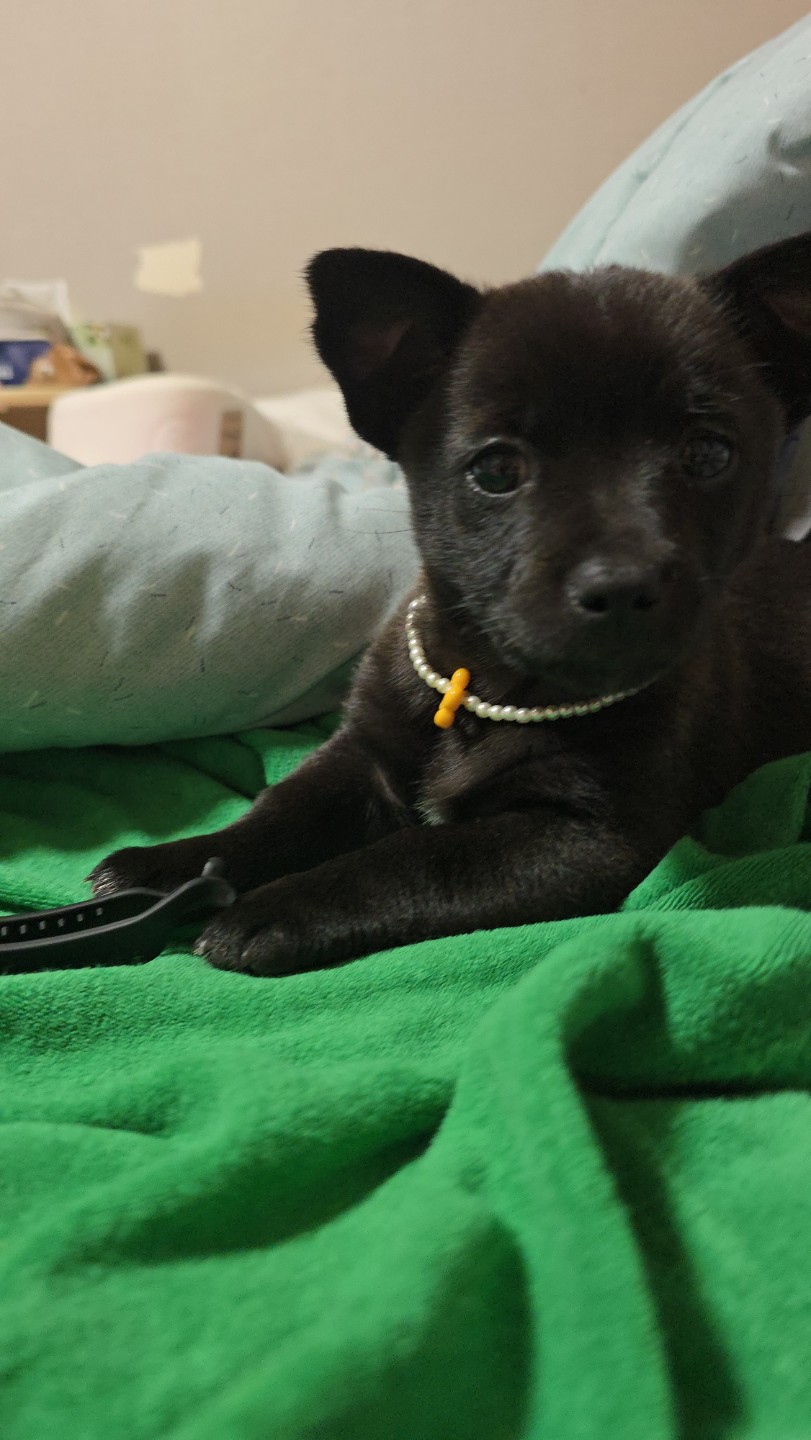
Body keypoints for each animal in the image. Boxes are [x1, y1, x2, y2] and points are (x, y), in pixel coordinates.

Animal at [89, 233, 811, 976]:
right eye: (495, 470)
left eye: (709, 455)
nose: (621, 586)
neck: (489, 689)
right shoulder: (360, 758)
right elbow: (278, 812)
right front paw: (165, 870)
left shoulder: (582, 836)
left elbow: (413, 859)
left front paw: (275, 908)